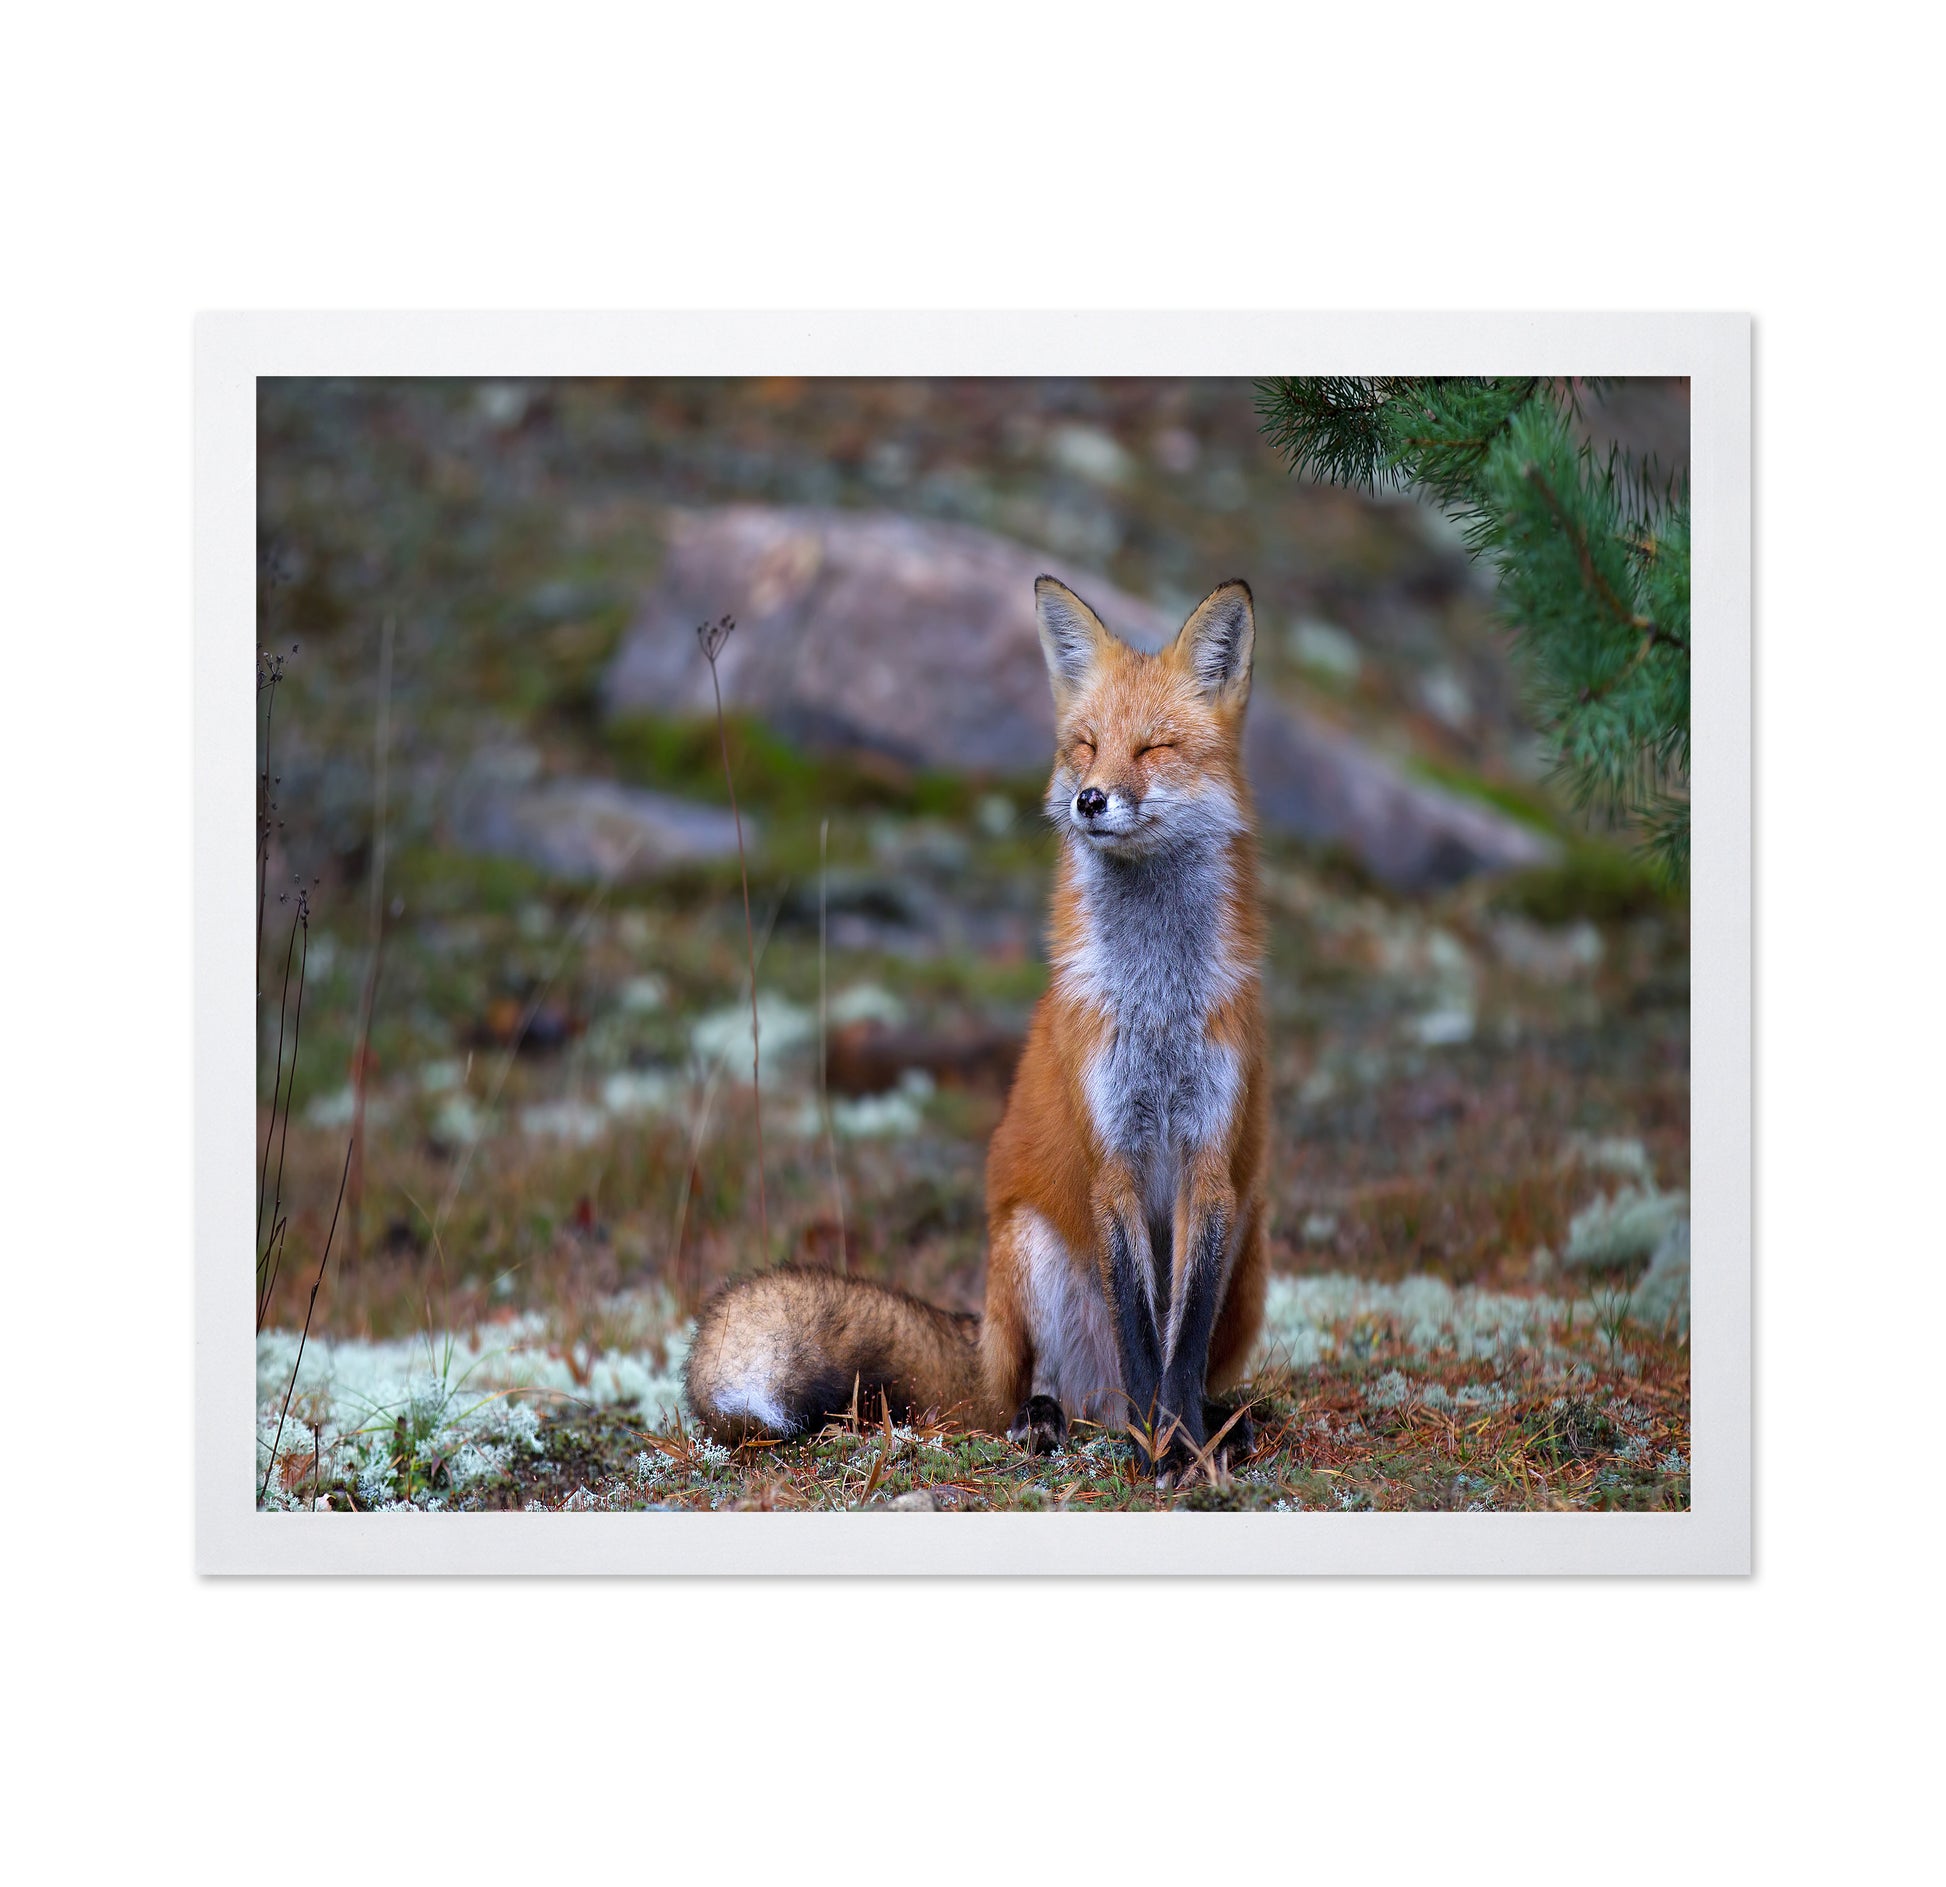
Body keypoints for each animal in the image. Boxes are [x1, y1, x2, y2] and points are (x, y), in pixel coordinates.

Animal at [685, 575, 1268, 1481]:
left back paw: (1219, 1420)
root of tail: (983, 1340)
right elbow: (1144, 1336)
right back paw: (1054, 1419)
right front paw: (1157, 1447)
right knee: (1040, 1394)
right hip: (1028, 1251)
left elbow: (1180, 1337)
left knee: (1188, 1367)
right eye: (1085, 746)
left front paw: (1182, 1443)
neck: (1156, 1004)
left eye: (1154, 748)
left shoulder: (1211, 1160)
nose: (1090, 799)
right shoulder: (1112, 1157)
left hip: (1250, 1233)